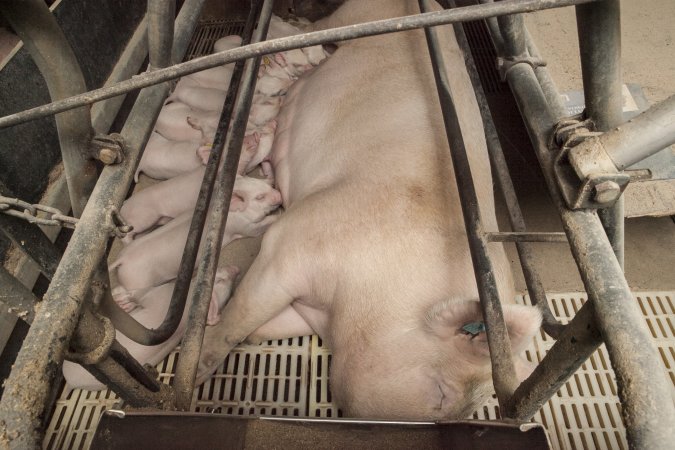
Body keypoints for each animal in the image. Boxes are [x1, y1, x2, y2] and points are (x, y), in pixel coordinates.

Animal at [61, 264, 240, 390]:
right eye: (221, 281)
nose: (236, 270)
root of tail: (69, 380)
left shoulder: (155, 294)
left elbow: (137, 293)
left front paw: (122, 299)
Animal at [194, 0, 540, 422]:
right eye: (441, 392)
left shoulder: (310, 310)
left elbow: (258, 329)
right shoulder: (295, 241)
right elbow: (238, 319)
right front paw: (196, 365)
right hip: (353, 18)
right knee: (312, 30)